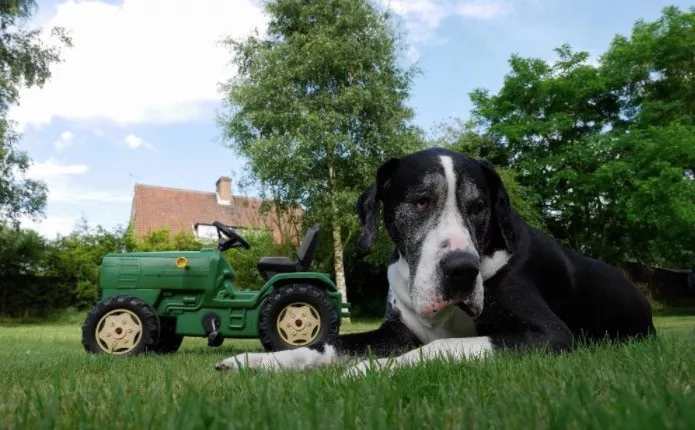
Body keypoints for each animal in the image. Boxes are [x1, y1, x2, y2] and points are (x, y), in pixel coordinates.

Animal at [215, 148, 656, 376]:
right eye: (421, 202)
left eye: (478, 207)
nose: (462, 270)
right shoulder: (393, 333)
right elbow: (327, 343)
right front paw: (256, 359)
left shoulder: (549, 334)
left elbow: (442, 346)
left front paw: (368, 370)